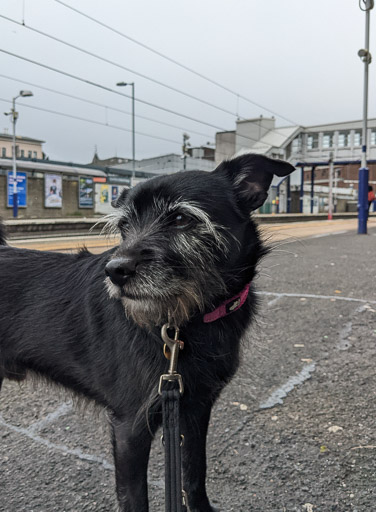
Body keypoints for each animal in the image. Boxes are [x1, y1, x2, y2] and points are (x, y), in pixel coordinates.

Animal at [0, 153, 294, 512]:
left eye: (180, 218)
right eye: (124, 226)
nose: (115, 271)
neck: (189, 321)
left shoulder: (194, 410)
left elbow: (194, 474)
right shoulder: (130, 427)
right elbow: (135, 496)